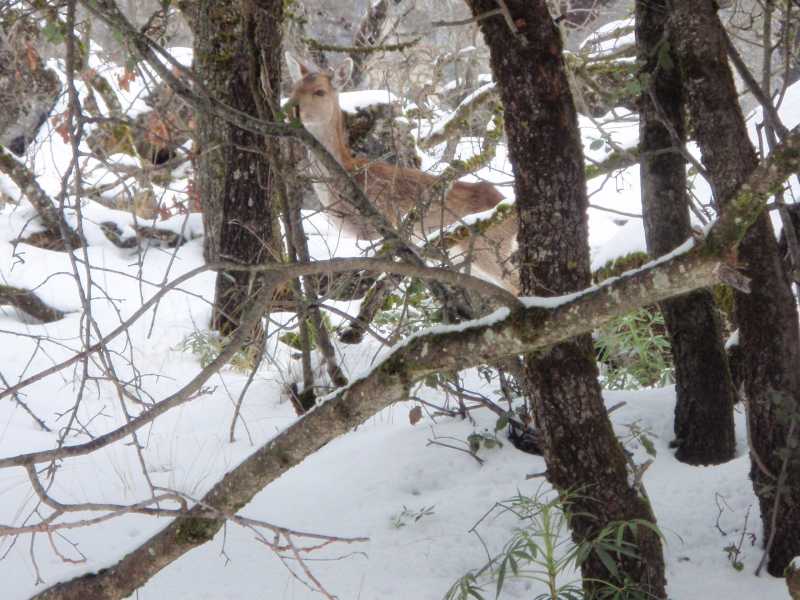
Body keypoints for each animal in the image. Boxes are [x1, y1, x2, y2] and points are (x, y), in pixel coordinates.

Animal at [284, 53, 519, 294]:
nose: (290, 108)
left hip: (489, 245)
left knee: (515, 284)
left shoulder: (385, 221)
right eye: (294, 88)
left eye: (320, 91)